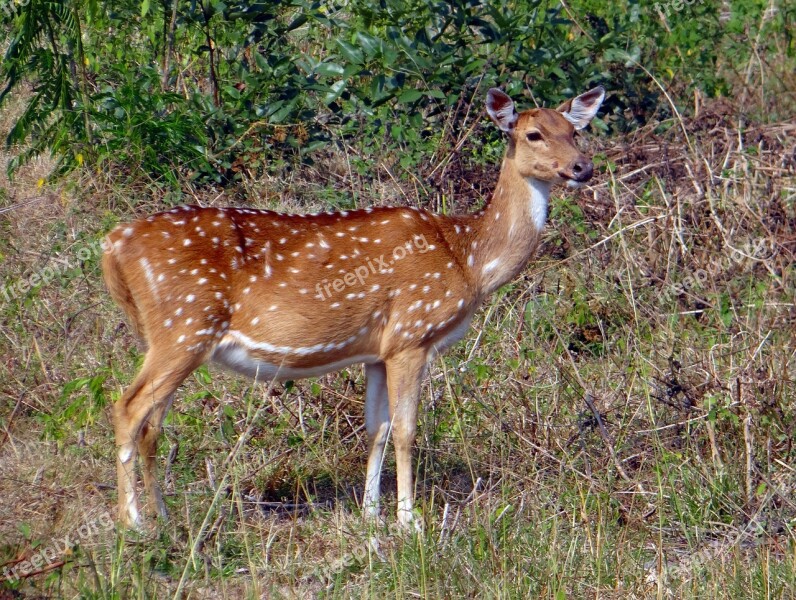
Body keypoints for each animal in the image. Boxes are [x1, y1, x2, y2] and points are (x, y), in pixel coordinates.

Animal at [104, 85, 604, 528]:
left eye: (575, 131)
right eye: (532, 134)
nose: (583, 167)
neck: (469, 258)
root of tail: (112, 245)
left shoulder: (376, 352)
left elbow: (375, 429)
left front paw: (370, 515)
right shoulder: (411, 334)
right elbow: (406, 429)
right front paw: (408, 522)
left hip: (174, 335)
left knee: (152, 423)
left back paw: (164, 517)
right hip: (184, 324)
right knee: (128, 408)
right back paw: (134, 524)